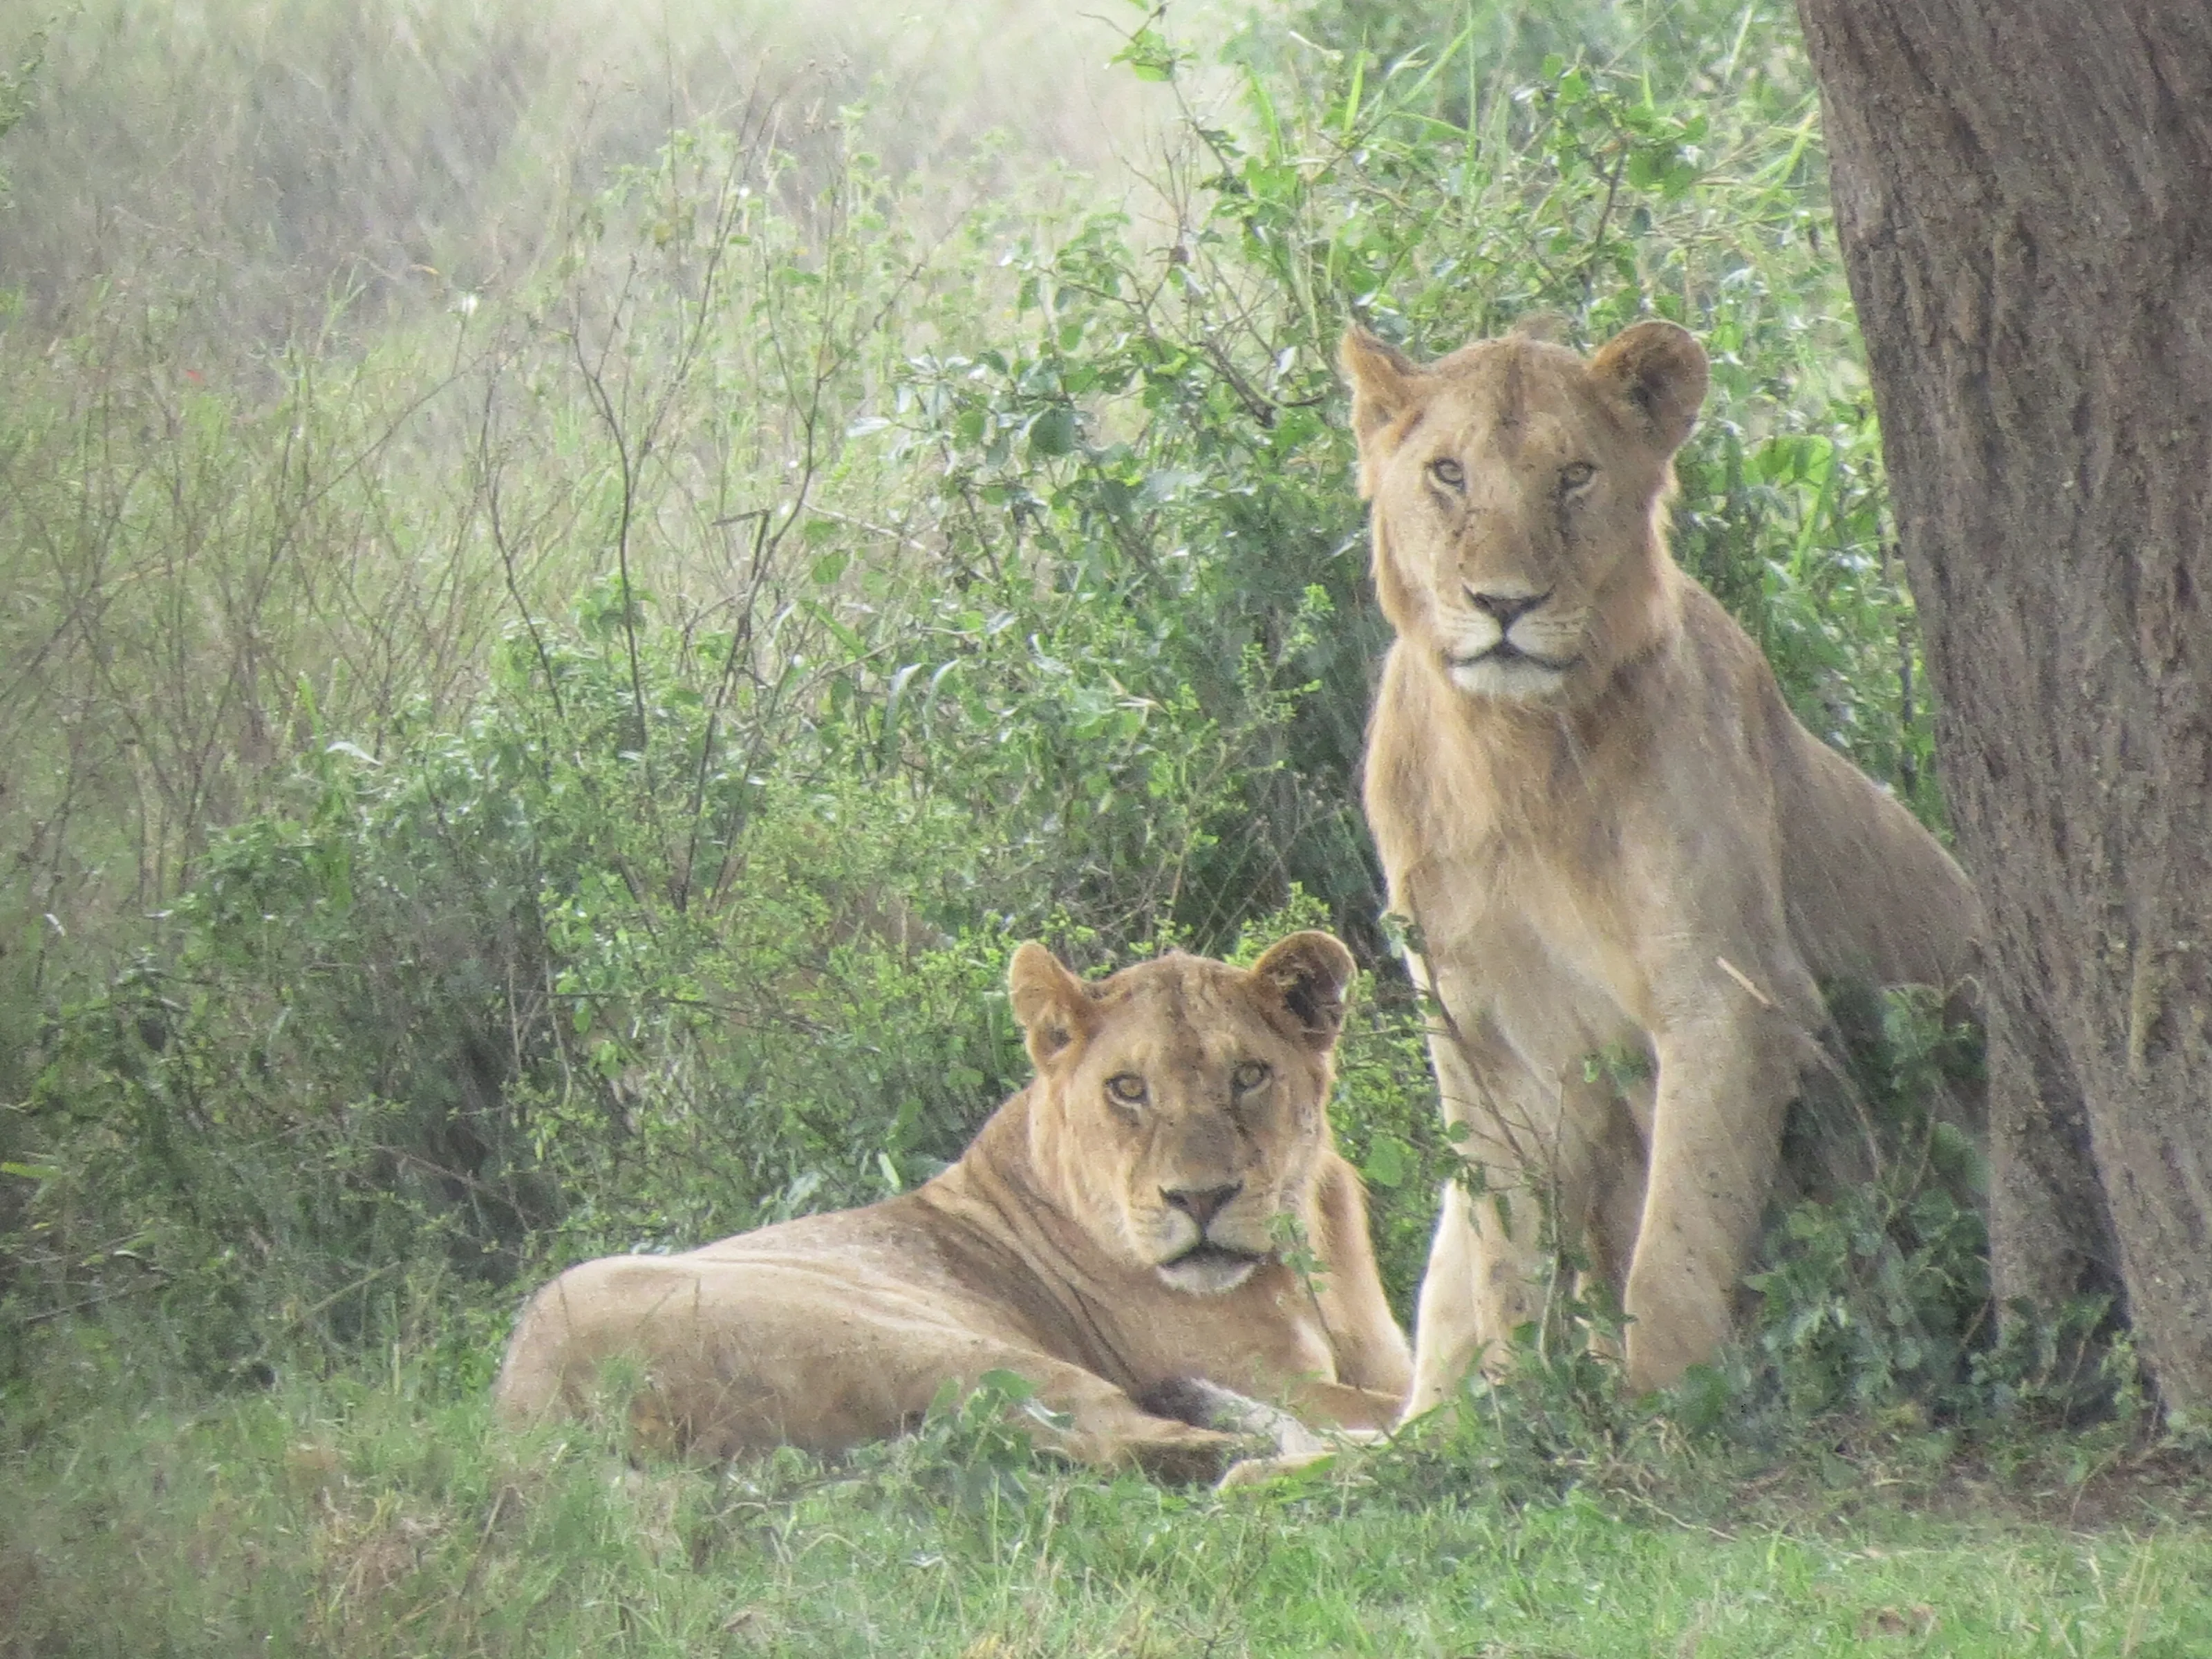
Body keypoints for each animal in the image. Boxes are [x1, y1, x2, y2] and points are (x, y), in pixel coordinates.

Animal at [493, 932, 1413, 1481]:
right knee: (1162, 1445)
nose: (1200, 1196)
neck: (1303, 1255)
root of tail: (528, 1418)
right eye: (1127, 1089)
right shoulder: (1284, 1384)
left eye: (1248, 1075)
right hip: (938, 1343)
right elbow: (1387, 1404)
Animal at [1338, 318, 1985, 1408]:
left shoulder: (1731, 996)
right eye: (1447, 474)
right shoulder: (1482, 1034)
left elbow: (1676, 1246)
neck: (1513, 756)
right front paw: (1524, 1413)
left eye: (1574, 476)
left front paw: (1667, 1412)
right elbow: (1510, 1262)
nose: (1503, 604)